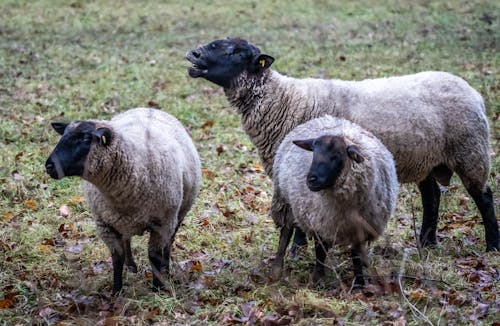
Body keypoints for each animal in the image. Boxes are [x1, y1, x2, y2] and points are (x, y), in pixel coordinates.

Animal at [45, 107, 201, 292]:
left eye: (85, 138)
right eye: (63, 136)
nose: (49, 166)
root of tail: (148, 107)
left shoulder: (162, 223)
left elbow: (154, 256)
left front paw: (157, 287)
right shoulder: (105, 225)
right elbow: (117, 257)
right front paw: (117, 291)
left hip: (178, 214)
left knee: (169, 242)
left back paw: (166, 269)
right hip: (120, 220)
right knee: (127, 240)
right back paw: (131, 265)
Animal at [186, 37, 498, 253]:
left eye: (234, 52)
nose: (194, 54)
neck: (285, 100)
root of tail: (472, 92)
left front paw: (298, 249)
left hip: (470, 151)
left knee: (483, 196)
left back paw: (491, 246)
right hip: (428, 158)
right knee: (432, 198)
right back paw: (427, 243)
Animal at [272, 115, 396, 286]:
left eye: (336, 156)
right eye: (313, 153)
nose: (311, 180)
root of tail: (324, 117)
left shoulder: (359, 227)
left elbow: (356, 254)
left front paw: (359, 283)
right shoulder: (321, 220)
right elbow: (320, 250)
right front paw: (318, 280)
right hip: (286, 200)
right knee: (285, 233)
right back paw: (277, 269)